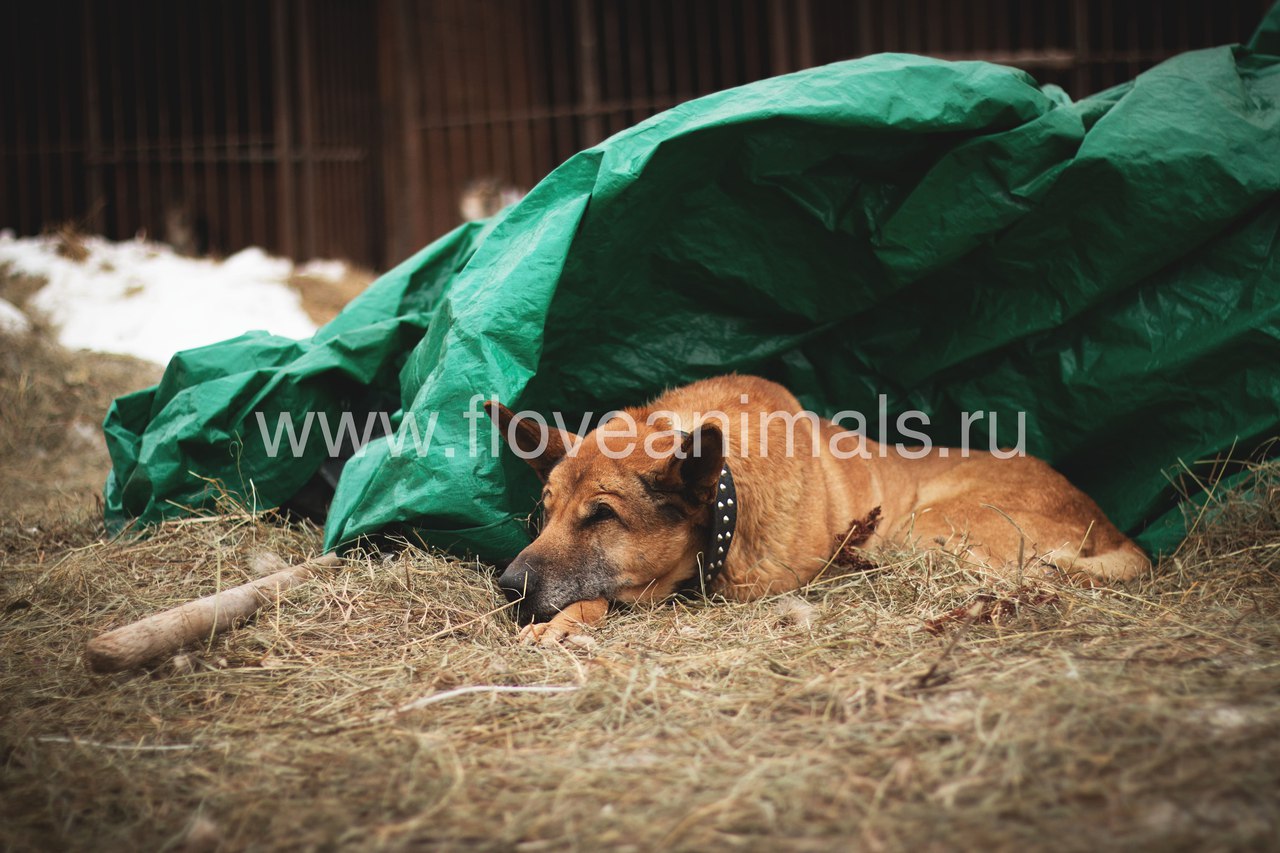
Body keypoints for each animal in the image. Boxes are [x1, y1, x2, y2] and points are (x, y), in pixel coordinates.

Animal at [486, 376, 1152, 640]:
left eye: (601, 517)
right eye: (544, 512)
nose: (508, 585)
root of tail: (1111, 526)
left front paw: (567, 620)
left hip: (930, 531)